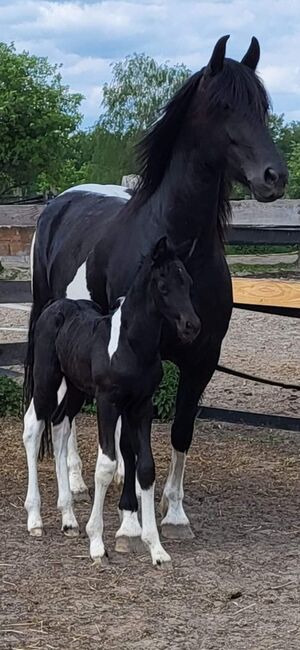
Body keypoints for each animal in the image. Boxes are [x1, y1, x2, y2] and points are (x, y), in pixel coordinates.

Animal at [24, 237, 202, 560]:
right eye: (163, 285)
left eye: (188, 282)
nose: (191, 325)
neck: (130, 346)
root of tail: (55, 307)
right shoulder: (108, 402)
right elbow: (106, 465)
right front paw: (97, 543)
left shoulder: (141, 405)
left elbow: (145, 467)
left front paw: (156, 549)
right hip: (46, 379)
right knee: (34, 425)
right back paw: (35, 518)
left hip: (76, 389)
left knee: (59, 425)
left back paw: (68, 518)